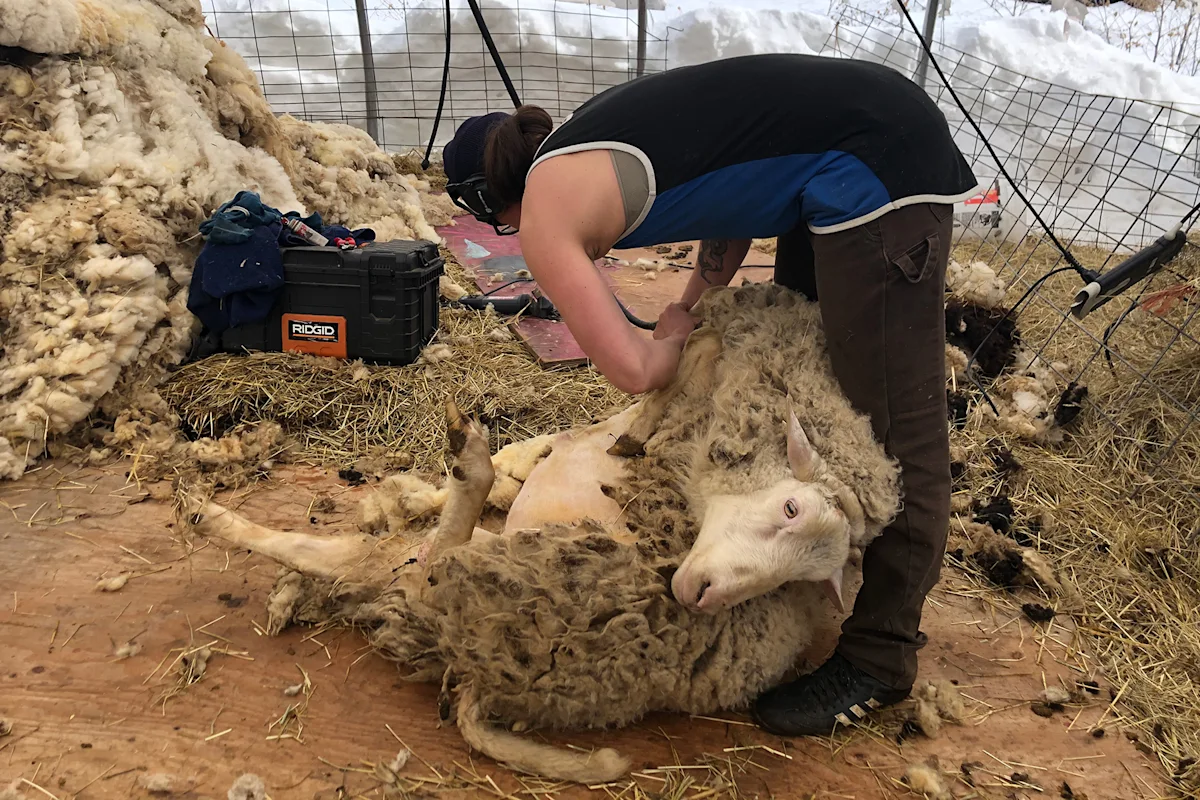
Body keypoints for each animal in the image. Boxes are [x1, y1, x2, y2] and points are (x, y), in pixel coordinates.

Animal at [182, 281, 903, 785]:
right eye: (789, 508)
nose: (699, 592)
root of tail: (472, 672)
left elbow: (677, 370)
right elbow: (550, 446)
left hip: (494, 572)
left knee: (418, 548)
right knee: (361, 553)